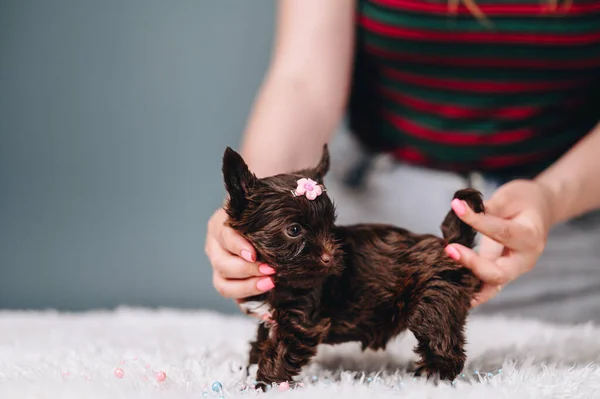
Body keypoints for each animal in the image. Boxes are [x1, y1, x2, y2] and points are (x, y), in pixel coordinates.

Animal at [223, 145, 486, 390]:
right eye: (294, 230)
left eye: (329, 226)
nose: (330, 258)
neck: (281, 278)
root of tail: (450, 245)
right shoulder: (270, 319)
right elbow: (261, 342)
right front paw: (248, 369)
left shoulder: (300, 323)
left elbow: (278, 352)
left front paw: (263, 385)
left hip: (432, 305)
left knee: (443, 344)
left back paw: (431, 379)